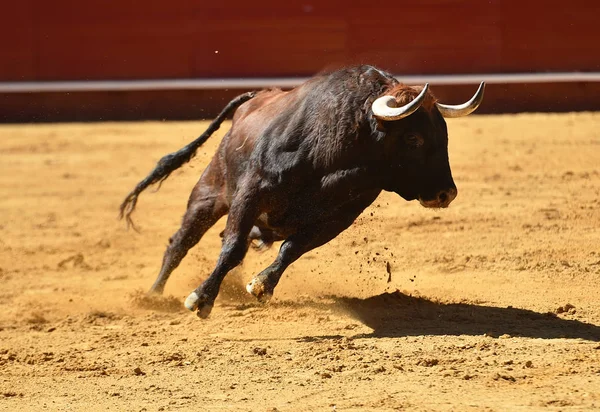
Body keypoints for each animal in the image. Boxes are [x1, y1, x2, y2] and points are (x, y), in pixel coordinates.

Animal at [119, 64, 486, 318]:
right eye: (414, 139)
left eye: (444, 136)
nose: (447, 194)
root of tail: (254, 98)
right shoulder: (251, 193)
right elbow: (233, 247)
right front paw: (202, 299)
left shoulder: (338, 217)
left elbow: (291, 249)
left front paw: (261, 286)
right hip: (210, 193)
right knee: (181, 243)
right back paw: (153, 295)